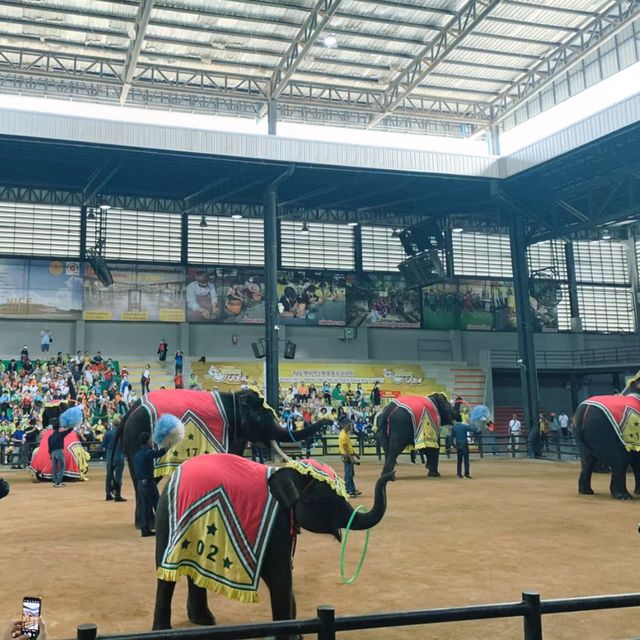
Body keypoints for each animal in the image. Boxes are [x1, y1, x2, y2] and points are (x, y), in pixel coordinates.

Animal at [117, 388, 330, 528]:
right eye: (261, 419)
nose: (329, 420)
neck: (234, 397)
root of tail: (130, 412)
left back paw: (144, 524)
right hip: (137, 438)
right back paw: (148, 525)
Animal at [152, 452, 392, 636]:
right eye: (327, 501)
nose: (390, 475)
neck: (288, 473)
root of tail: (173, 475)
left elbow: (286, 575)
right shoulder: (276, 524)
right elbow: (280, 576)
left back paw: (204, 621)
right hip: (167, 517)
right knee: (165, 573)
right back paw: (163, 630)